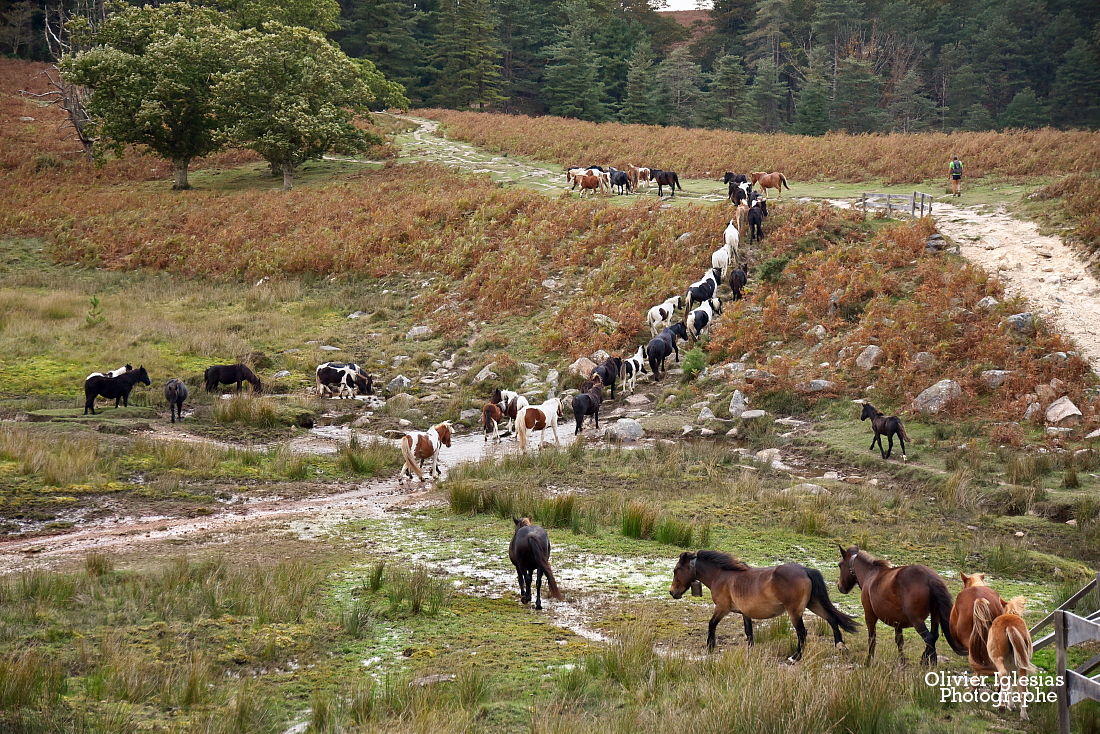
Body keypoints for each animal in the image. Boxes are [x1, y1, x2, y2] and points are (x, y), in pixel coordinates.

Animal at [668, 550, 858, 660]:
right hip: (814, 604)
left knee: (802, 632)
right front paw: (750, 652)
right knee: (832, 619)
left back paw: (795, 657)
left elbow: (711, 624)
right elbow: (749, 633)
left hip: (795, 612)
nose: (672, 592)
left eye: (676, 570)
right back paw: (841, 646)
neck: (722, 576)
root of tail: (805, 570)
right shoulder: (745, 613)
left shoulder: (722, 608)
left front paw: (710, 647)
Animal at [836, 545, 968, 664]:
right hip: (935, 615)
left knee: (929, 638)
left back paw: (928, 663)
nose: (839, 586)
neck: (871, 573)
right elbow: (899, 641)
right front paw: (902, 662)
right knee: (934, 636)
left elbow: (872, 639)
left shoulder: (869, 615)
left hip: (917, 620)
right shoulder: (897, 622)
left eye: (839, 565)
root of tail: (929, 578)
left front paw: (868, 661)